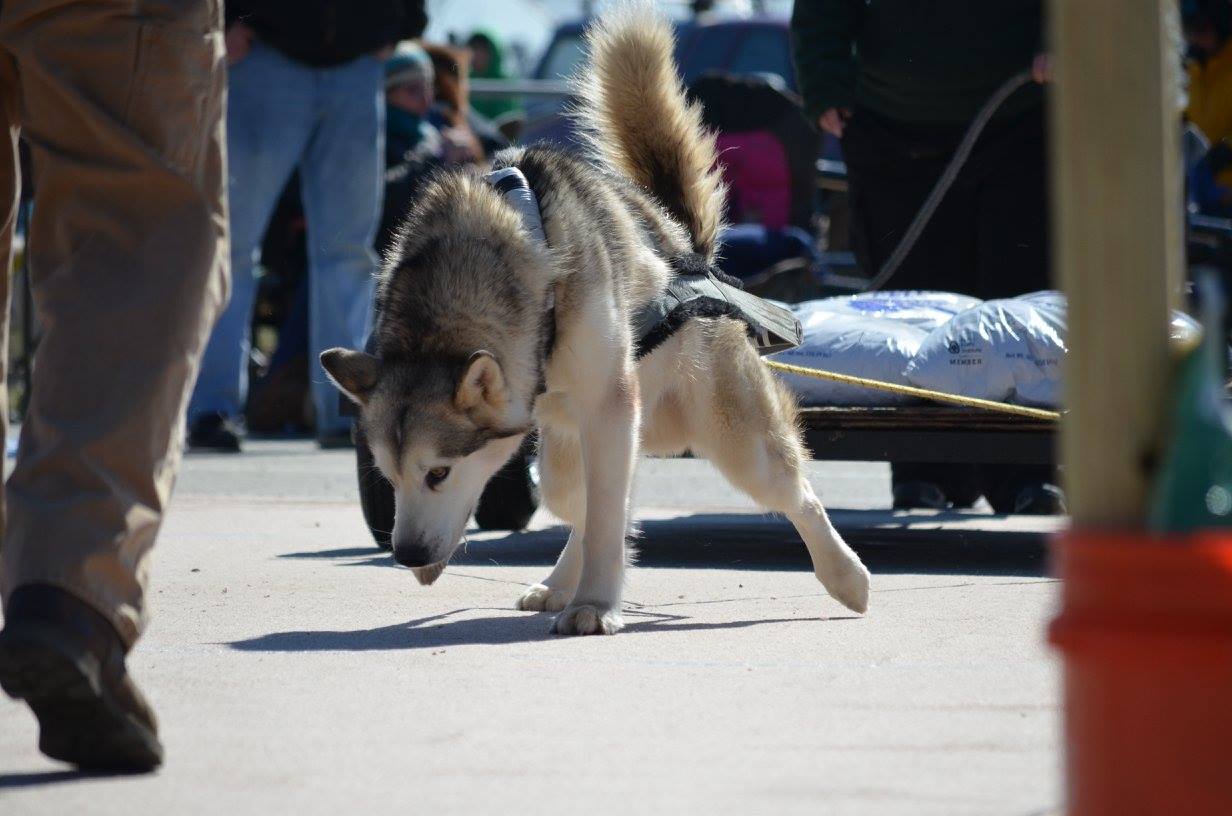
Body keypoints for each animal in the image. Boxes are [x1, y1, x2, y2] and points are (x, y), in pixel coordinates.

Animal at [322, 3, 872, 636]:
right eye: (386, 476)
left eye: (438, 473)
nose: (407, 554)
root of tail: (683, 244)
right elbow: (598, 511)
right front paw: (582, 588)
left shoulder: (609, 405)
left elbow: (609, 517)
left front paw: (597, 603)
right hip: (565, 441)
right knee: (575, 499)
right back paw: (560, 580)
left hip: (731, 439)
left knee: (794, 493)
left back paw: (845, 575)